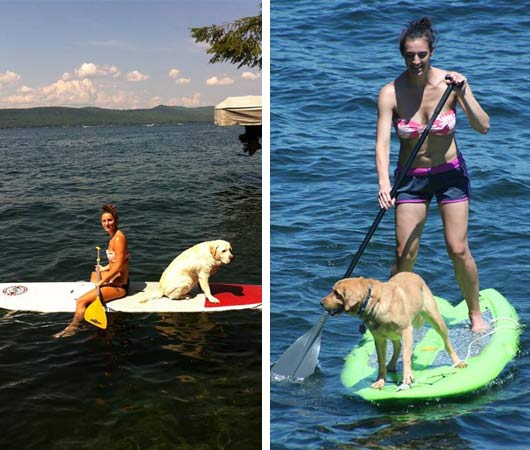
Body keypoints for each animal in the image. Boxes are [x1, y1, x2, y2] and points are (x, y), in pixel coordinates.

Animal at [318, 272, 462, 388]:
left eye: (336, 293)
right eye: (333, 291)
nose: (321, 302)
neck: (373, 301)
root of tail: (413, 274)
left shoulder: (406, 331)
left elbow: (406, 357)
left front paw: (407, 377)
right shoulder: (379, 339)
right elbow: (381, 362)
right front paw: (380, 381)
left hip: (435, 319)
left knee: (446, 342)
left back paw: (457, 362)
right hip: (392, 334)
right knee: (397, 347)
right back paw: (392, 365)